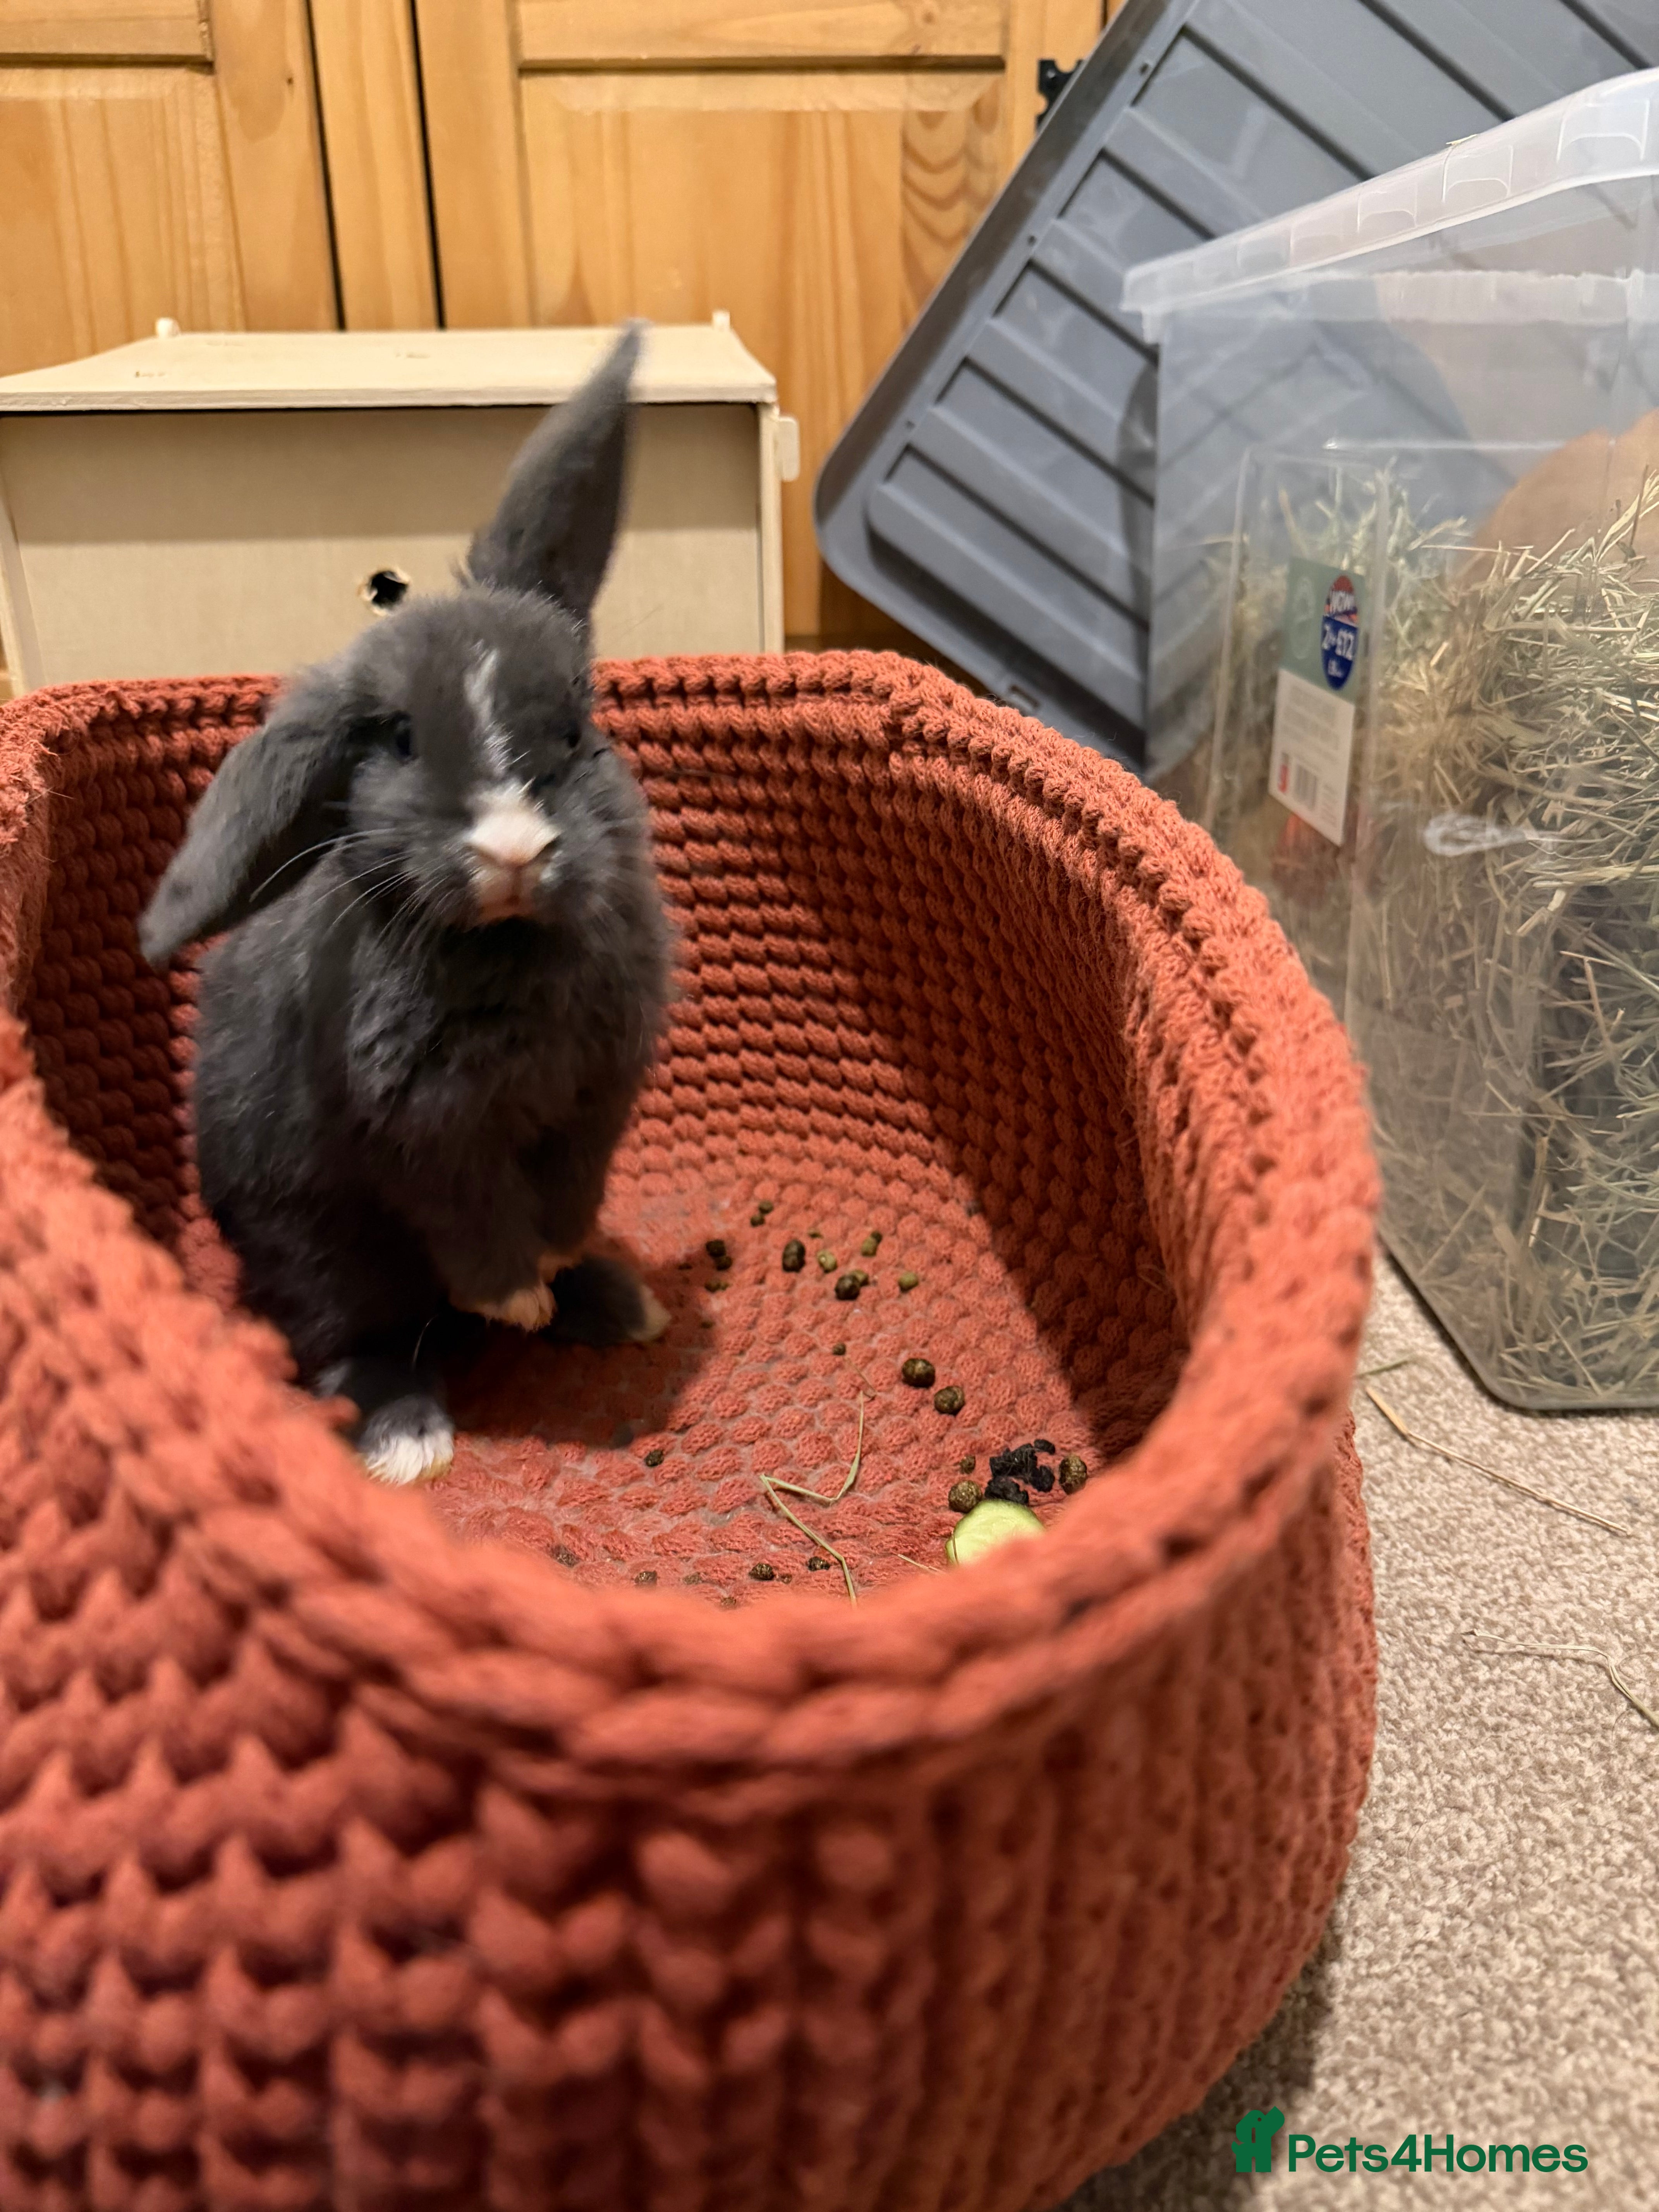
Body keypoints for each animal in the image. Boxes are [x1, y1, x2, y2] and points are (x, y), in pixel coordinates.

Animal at [139, 324, 673, 1486]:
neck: (509, 946)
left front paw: (558, 1267)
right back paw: (408, 1437)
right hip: (322, 1260)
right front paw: (516, 1296)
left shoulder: (594, 1102)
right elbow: (474, 1228)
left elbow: (566, 1195)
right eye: (397, 740)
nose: (514, 849)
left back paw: (622, 1306)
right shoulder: (426, 1135)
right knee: (351, 1345)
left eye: (576, 730)